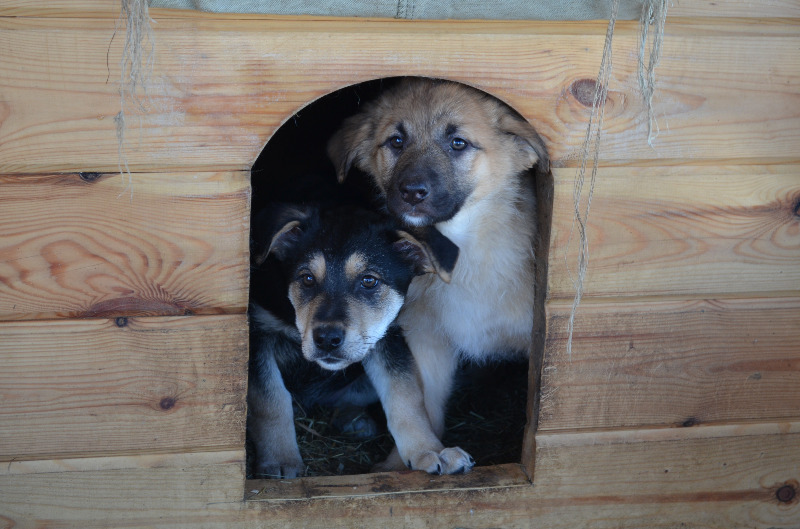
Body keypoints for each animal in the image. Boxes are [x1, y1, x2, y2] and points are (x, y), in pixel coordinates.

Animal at [247, 204, 474, 478]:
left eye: (369, 280)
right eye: (307, 278)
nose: (327, 339)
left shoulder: (386, 336)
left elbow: (405, 395)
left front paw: (429, 449)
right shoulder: (257, 334)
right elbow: (271, 400)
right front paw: (280, 460)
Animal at [328, 78, 548, 468]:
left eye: (457, 143)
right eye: (396, 141)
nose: (412, 192)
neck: (460, 255)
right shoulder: (427, 341)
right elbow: (421, 404)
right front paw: (412, 460)